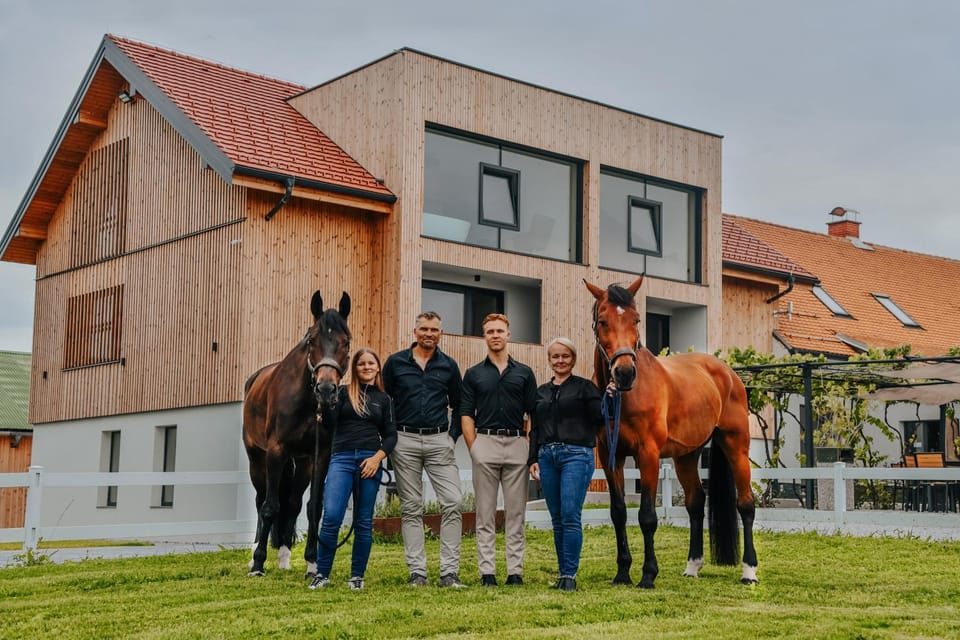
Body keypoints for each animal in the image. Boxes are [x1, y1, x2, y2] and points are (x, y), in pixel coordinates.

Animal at [242, 290, 351, 577]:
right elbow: (270, 507)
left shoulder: (320, 456)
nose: (326, 389)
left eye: (346, 342)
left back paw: (284, 557)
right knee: (260, 500)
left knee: (292, 503)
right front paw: (259, 563)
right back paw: (255, 556)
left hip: (301, 463)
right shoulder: (276, 451)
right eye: (312, 340)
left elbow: (314, 507)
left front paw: (313, 563)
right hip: (257, 459)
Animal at [584, 275, 758, 589]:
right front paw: (622, 573)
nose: (624, 373)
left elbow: (647, 516)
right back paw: (692, 566)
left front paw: (648, 574)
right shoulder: (610, 456)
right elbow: (618, 513)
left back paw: (749, 571)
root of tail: (728, 373)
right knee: (695, 503)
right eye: (602, 321)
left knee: (746, 504)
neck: (626, 396)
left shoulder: (648, 454)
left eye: (636, 319)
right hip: (686, 456)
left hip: (736, 446)